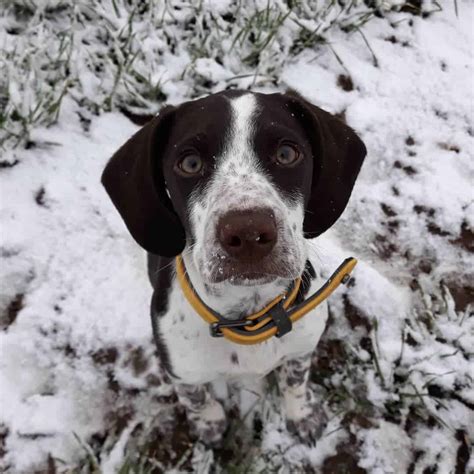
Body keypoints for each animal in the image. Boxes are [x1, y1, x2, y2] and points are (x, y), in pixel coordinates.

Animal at [101, 89, 366, 444]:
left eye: (286, 153)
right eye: (190, 163)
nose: (249, 232)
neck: (250, 318)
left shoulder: (301, 349)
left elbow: (295, 380)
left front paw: (300, 414)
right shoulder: (181, 369)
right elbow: (196, 397)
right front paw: (209, 422)